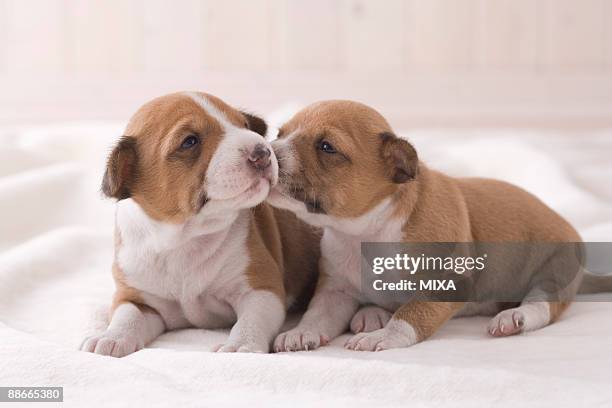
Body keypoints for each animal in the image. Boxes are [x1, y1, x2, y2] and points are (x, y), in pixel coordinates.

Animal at [81, 93, 320, 356]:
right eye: (190, 141)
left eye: (244, 125)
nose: (263, 152)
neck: (184, 238)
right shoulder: (137, 298)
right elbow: (127, 316)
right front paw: (112, 336)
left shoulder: (261, 289)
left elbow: (250, 321)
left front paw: (240, 345)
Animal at [270, 100, 584, 352]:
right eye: (279, 134)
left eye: (327, 147)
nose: (268, 152)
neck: (364, 231)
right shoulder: (336, 291)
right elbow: (316, 315)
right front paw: (300, 332)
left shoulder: (446, 284)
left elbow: (409, 316)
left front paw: (383, 336)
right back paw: (372, 314)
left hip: (555, 272)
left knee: (542, 305)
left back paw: (514, 318)